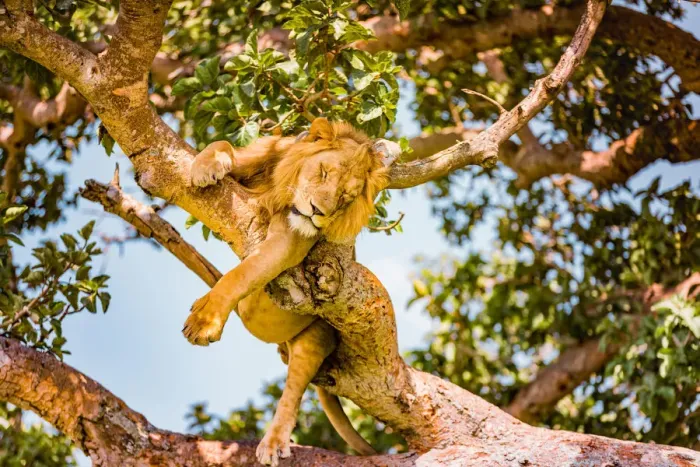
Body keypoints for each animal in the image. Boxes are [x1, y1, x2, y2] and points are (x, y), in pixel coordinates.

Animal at [182, 118, 401, 466]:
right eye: (324, 172)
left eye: (345, 197)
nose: (317, 211)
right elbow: (223, 145)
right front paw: (204, 166)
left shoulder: (292, 239)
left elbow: (245, 273)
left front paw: (205, 321)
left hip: (315, 340)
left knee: (293, 392)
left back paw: (273, 443)